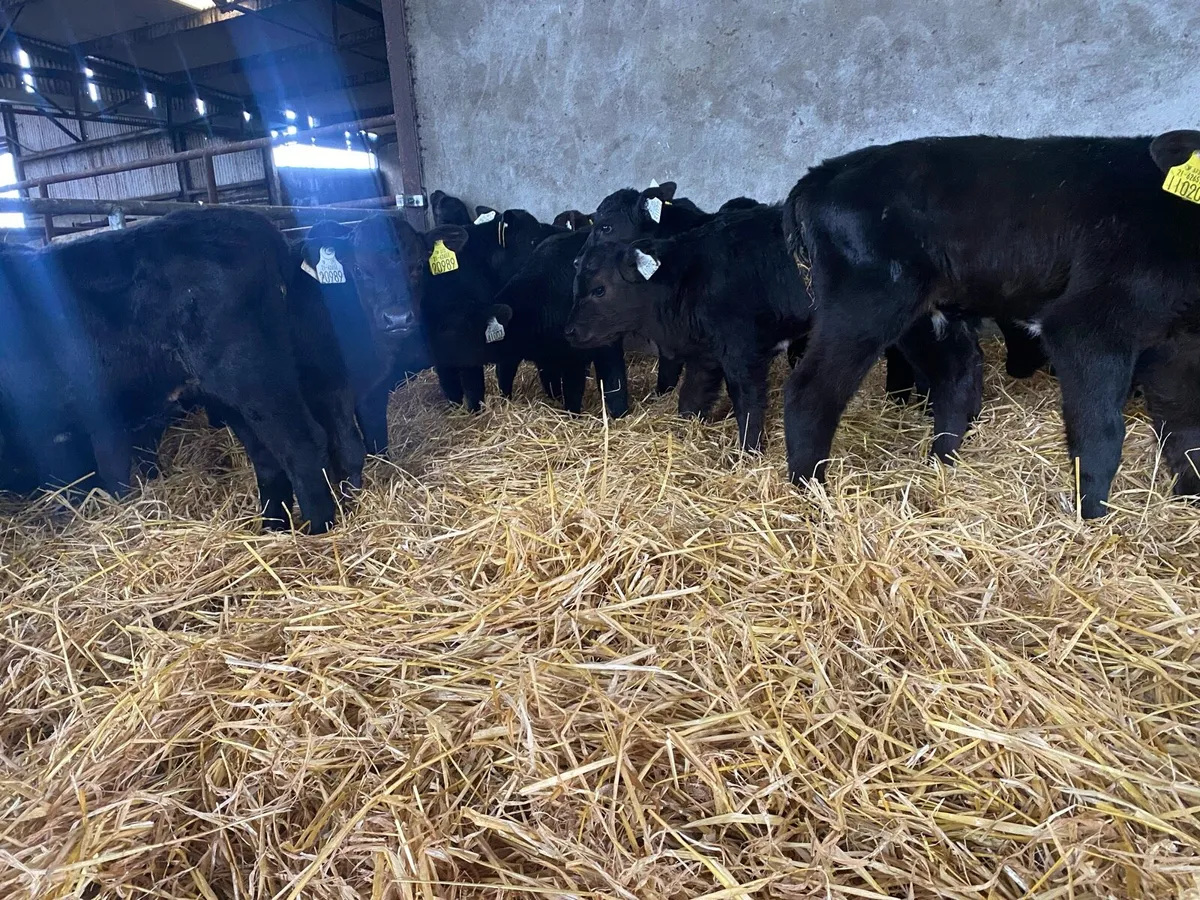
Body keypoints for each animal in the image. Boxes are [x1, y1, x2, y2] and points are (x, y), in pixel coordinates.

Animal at [0, 209, 363, 533]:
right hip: (236, 394)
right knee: (271, 458)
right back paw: (273, 529)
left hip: (253, 377)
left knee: (302, 444)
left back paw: (317, 531)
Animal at [781, 133, 1200, 519]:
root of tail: (823, 173)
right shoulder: (1086, 326)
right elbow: (1101, 429)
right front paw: (1093, 514)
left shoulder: (1176, 345)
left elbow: (1184, 426)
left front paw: (1191, 495)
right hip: (866, 300)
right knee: (811, 391)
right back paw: (811, 494)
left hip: (921, 312)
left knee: (954, 378)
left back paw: (942, 465)